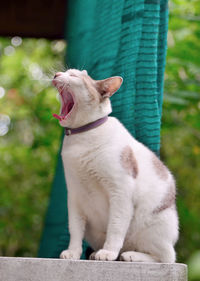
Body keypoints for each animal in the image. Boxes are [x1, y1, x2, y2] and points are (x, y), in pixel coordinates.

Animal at [52, 69, 179, 262]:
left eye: (73, 75)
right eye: (65, 72)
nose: (57, 74)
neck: (82, 137)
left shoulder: (120, 191)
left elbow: (116, 226)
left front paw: (108, 253)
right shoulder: (74, 196)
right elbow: (75, 229)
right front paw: (73, 252)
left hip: (153, 226)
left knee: (166, 257)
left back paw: (129, 255)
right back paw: (98, 253)